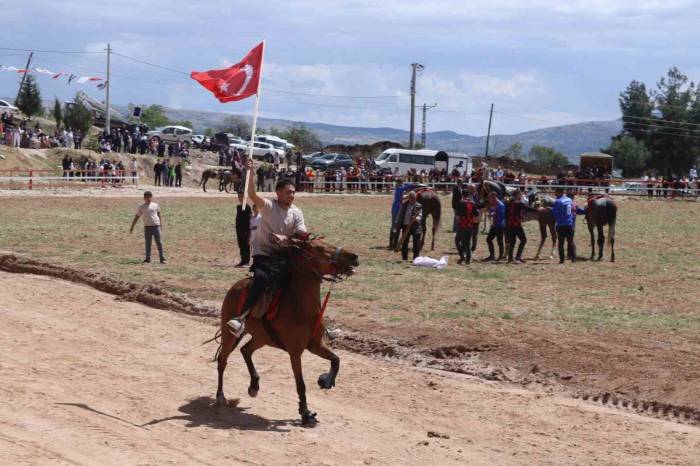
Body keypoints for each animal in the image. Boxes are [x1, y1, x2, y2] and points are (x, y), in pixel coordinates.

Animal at [213, 240, 358, 426]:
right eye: (320, 248)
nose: (354, 257)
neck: (302, 308)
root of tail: (235, 287)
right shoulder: (295, 352)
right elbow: (301, 384)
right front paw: (306, 414)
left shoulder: (315, 345)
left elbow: (336, 359)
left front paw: (325, 381)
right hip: (229, 334)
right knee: (222, 361)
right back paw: (220, 397)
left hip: (261, 338)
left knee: (245, 350)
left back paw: (254, 386)